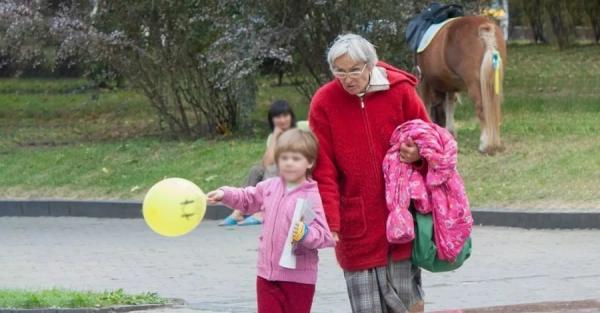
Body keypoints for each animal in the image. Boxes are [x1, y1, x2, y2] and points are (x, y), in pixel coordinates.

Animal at [418, 15, 506, 154]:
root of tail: (484, 27)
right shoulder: (449, 85)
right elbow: (449, 104)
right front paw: (450, 132)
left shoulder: (425, 81)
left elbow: (426, 105)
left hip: (474, 84)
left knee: (482, 109)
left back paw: (485, 145)